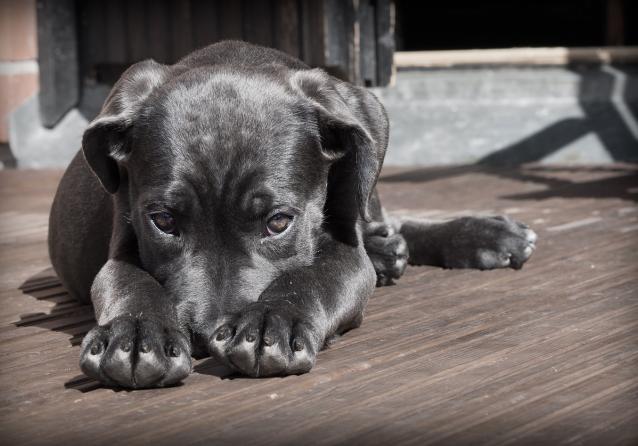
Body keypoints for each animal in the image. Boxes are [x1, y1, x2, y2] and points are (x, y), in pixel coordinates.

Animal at [50, 40, 536, 386]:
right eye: (163, 221)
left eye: (279, 222)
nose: (205, 336)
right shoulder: (122, 244)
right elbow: (129, 281)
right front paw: (135, 334)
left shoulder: (345, 252)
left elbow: (313, 276)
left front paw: (271, 322)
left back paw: (481, 235)